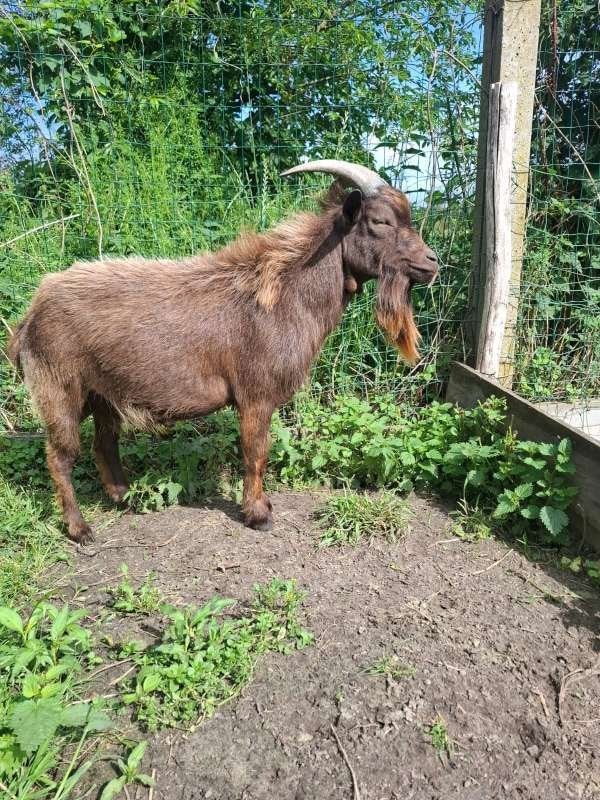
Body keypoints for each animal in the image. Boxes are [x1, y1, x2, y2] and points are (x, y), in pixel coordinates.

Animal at [8, 160, 438, 543]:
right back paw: (79, 529)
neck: (283, 295)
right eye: (380, 221)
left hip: (103, 395)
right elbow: (255, 452)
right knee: (60, 457)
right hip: (60, 390)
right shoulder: (255, 395)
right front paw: (258, 514)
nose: (431, 263)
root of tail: (29, 316)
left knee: (103, 445)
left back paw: (124, 498)